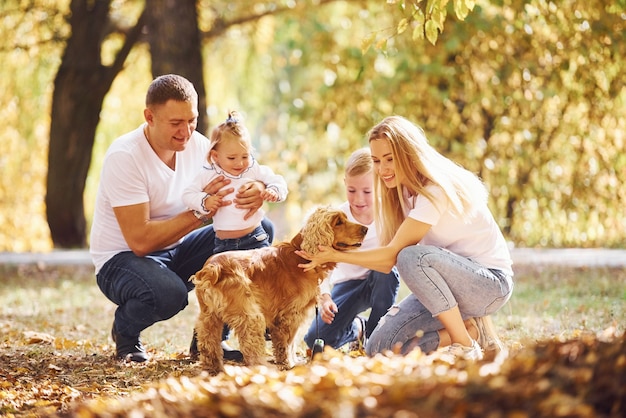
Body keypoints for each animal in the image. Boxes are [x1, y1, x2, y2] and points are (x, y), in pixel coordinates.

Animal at [190, 207, 366, 374]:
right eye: (338, 222)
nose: (365, 229)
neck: (300, 256)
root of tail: (213, 268)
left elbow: (291, 343)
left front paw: (292, 361)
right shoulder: (289, 315)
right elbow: (287, 343)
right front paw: (288, 364)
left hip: (209, 317)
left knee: (207, 342)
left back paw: (213, 368)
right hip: (250, 315)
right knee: (250, 346)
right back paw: (262, 367)